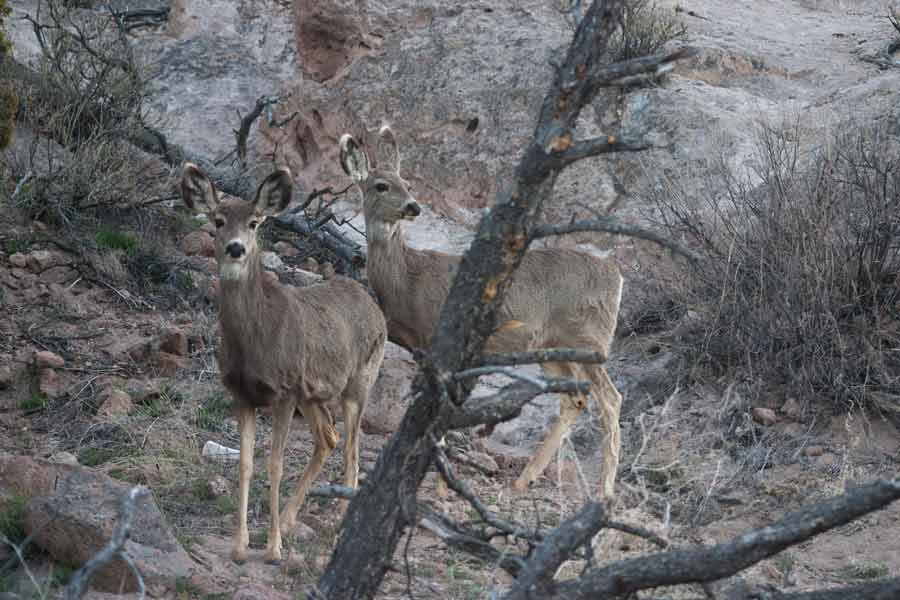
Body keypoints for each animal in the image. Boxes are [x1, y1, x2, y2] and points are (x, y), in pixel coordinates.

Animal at [180, 163, 387, 564]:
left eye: (255, 222)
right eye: (218, 220)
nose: (235, 248)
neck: (255, 341)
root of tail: (373, 304)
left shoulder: (285, 390)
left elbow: (274, 465)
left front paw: (273, 549)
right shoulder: (241, 393)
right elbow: (245, 464)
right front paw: (240, 545)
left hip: (359, 381)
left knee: (352, 450)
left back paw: (337, 522)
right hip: (314, 394)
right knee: (328, 438)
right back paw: (292, 518)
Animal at [339, 127, 624, 499]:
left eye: (407, 183)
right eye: (382, 185)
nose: (413, 206)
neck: (408, 279)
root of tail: (615, 274)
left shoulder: (440, 340)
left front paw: (439, 485)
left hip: (590, 340)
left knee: (611, 399)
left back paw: (605, 490)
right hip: (550, 346)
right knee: (575, 399)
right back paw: (524, 480)